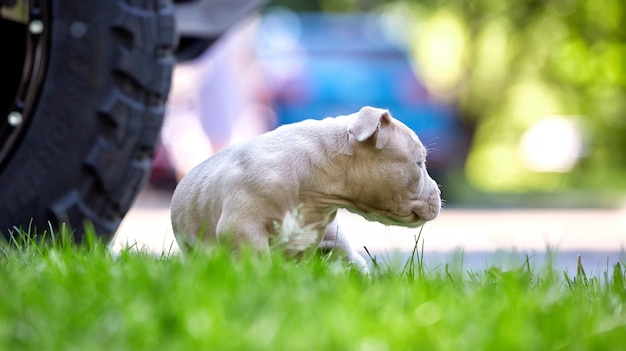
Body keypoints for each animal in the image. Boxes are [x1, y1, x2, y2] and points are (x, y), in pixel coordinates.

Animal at [169, 106, 438, 272]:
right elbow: (258, 264)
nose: (439, 191)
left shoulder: (309, 236)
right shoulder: (243, 228)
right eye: (419, 163)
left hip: (337, 239)